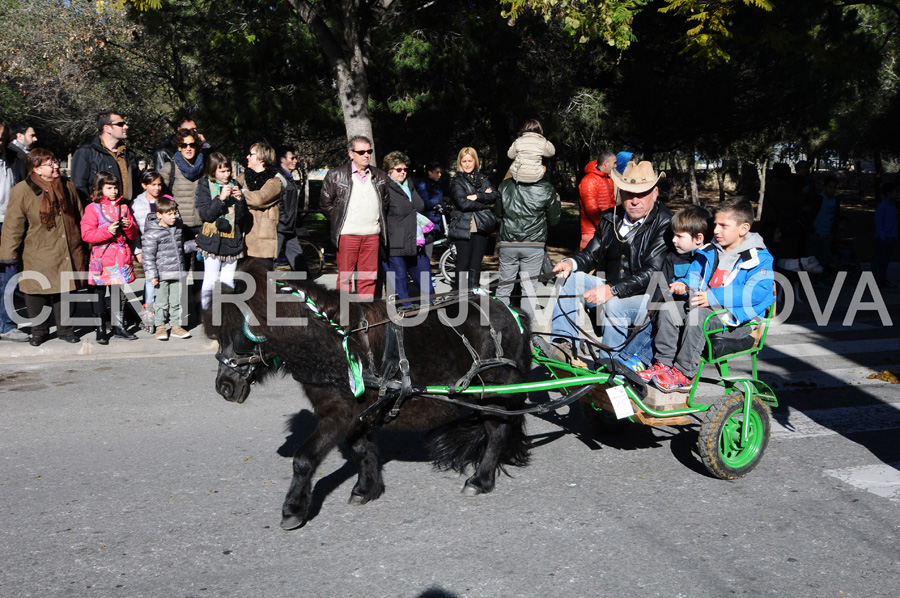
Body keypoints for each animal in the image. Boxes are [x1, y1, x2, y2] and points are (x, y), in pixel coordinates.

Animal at [209, 262, 536, 528]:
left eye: (239, 334)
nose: (224, 386)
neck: (336, 343)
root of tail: (511, 312)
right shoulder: (357, 414)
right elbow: (361, 450)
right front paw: (366, 489)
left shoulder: (340, 413)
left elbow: (304, 458)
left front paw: (292, 510)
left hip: (496, 391)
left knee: (497, 432)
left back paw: (480, 480)